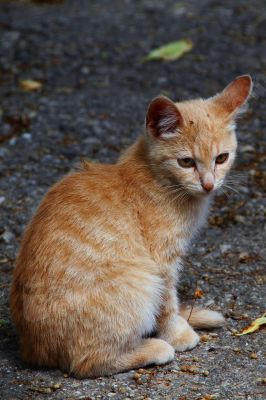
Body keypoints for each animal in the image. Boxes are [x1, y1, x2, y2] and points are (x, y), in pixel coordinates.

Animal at [9, 75, 251, 378]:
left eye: (222, 158)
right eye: (186, 162)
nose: (208, 184)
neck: (157, 179)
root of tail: (30, 348)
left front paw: (187, 316)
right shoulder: (162, 262)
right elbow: (166, 303)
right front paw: (177, 333)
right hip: (141, 283)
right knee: (88, 361)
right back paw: (154, 347)